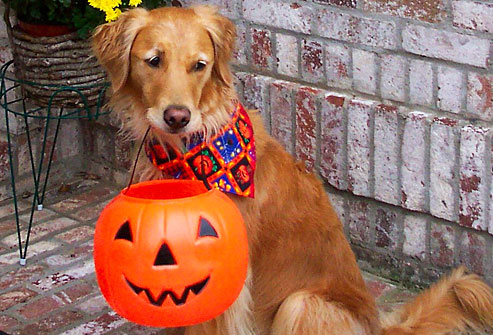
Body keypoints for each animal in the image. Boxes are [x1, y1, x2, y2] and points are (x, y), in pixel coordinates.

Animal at [92, 5, 492, 335]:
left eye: (199, 65)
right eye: (153, 60)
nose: (178, 117)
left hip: (300, 304)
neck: (188, 151)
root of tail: (378, 327)